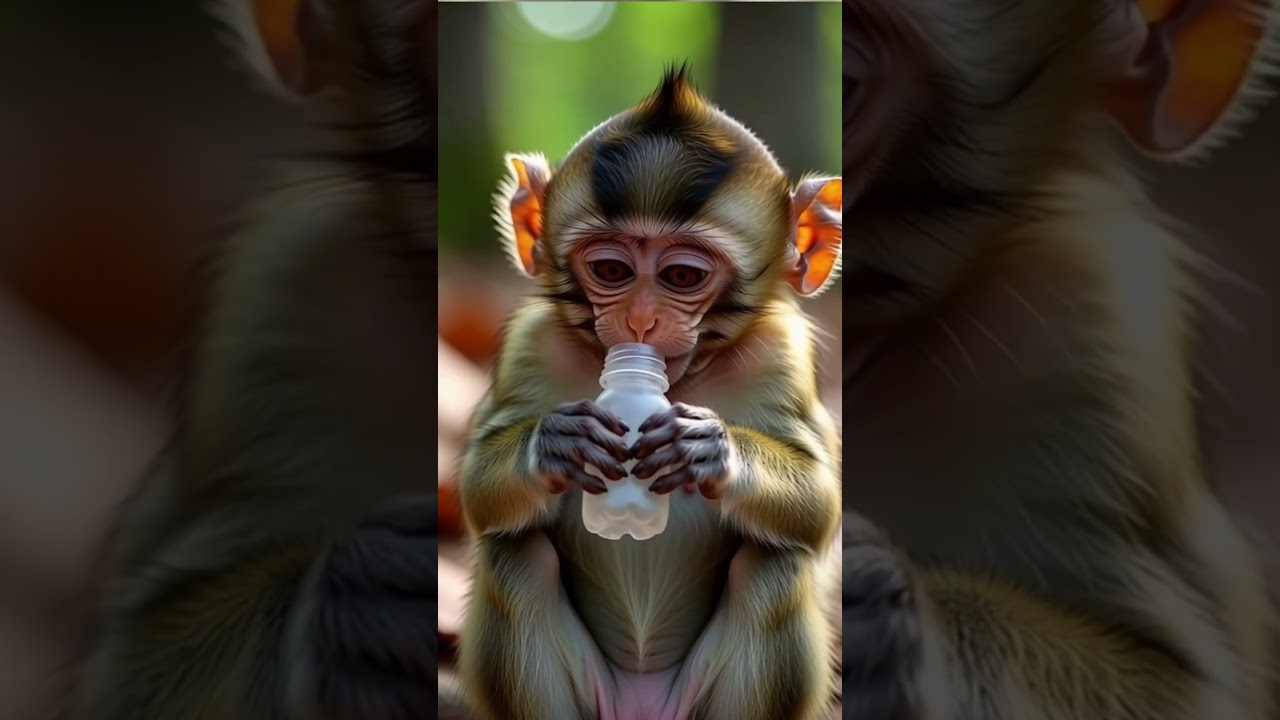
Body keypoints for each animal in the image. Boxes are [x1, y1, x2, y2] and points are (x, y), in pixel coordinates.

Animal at [453, 65, 843, 720]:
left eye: (682, 276)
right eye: (611, 271)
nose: (639, 322)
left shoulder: (780, 356)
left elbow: (818, 506)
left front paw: (707, 448)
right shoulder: (531, 345)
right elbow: (479, 493)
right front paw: (556, 443)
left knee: (773, 565)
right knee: (516, 557)